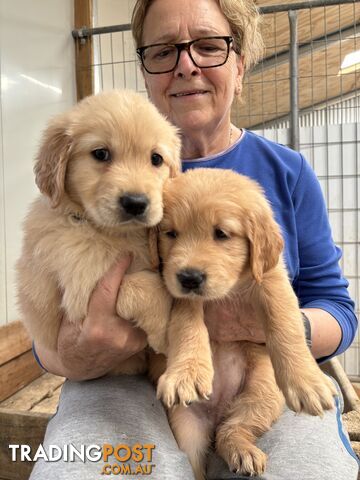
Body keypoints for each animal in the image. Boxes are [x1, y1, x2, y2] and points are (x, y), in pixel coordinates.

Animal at [15, 90, 181, 374]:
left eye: (156, 159)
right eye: (101, 154)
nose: (136, 203)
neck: (109, 232)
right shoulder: (82, 288)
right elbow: (144, 285)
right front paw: (164, 335)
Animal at [155, 167, 338, 478]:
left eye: (221, 234)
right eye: (171, 233)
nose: (189, 278)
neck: (231, 288)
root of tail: (217, 412)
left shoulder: (272, 280)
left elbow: (285, 323)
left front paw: (307, 382)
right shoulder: (179, 293)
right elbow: (187, 326)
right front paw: (185, 375)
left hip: (263, 392)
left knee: (233, 429)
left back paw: (243, 452)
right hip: (186, 426)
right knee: (199, 457)